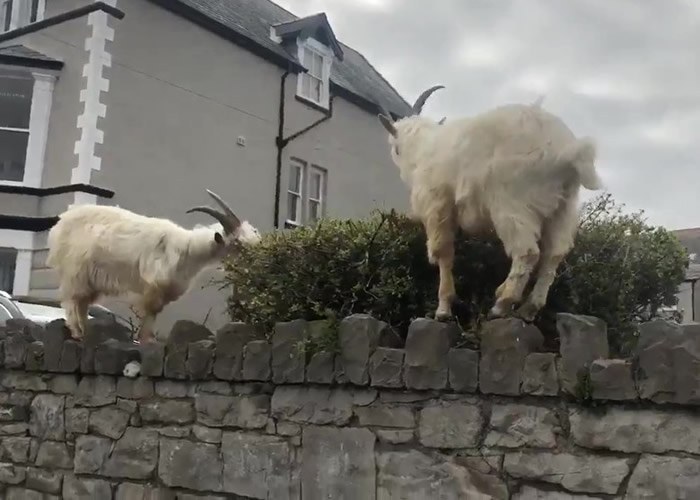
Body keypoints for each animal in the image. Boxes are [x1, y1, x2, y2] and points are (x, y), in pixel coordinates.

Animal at [46, 189, 262, 342]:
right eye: (237, 244)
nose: (257, 257)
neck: (187, 250)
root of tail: (59, 224)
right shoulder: (154, 285)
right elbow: (151, 313)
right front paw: (146, 340)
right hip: (74, 272)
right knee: (72, 302)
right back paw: (78, 333)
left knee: (81, 304)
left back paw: (86, 333)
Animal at [378, 86, 600, 322]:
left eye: (395, 148)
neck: (422, 150)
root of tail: (568, 152)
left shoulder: (437, 205)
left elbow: (443, 253)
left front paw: (443, 309)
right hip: (564, 207)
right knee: (553, 255)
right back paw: (528, 308)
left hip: (514, 202)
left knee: (528, 252)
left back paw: (502, 304)